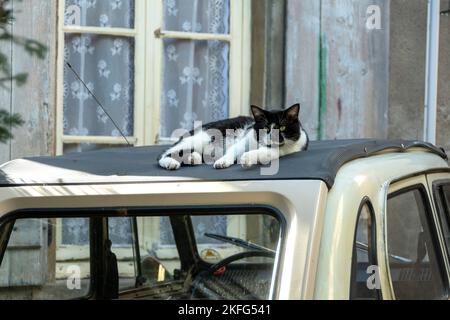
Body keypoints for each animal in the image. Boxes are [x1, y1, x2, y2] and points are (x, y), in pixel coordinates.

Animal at [156, 104, 308, 170]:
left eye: (282, 128)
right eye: (265, 128)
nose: (273, 138)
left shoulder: (289, 148)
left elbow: (268, 152)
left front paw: (247, 158)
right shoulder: (243, 140)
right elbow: (233, 150)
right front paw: (223, 161)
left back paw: (192, 158)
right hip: (200, 138)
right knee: (164, 154)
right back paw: (171, 163)